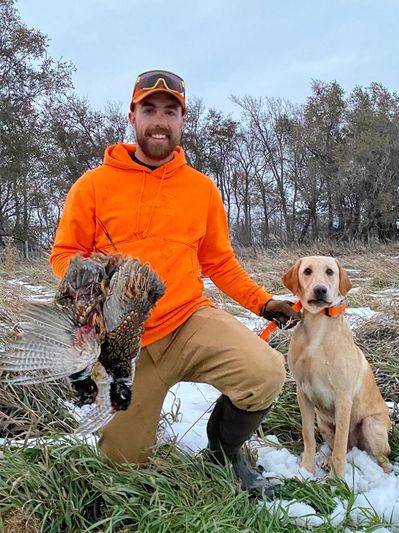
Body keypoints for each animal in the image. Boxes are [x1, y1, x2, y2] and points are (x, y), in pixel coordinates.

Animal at [284, 256, 390, 476]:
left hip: (371, 426)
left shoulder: (343, 398)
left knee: (381, 459)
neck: (317, 326)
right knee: (342, 446)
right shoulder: (302, 393)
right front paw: (307, 470)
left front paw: (337, 478)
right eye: (307, 271)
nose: (320, 290)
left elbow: (341, 446)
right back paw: (326, 460)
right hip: (324, 423)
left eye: (330, 272)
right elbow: (308, 436)